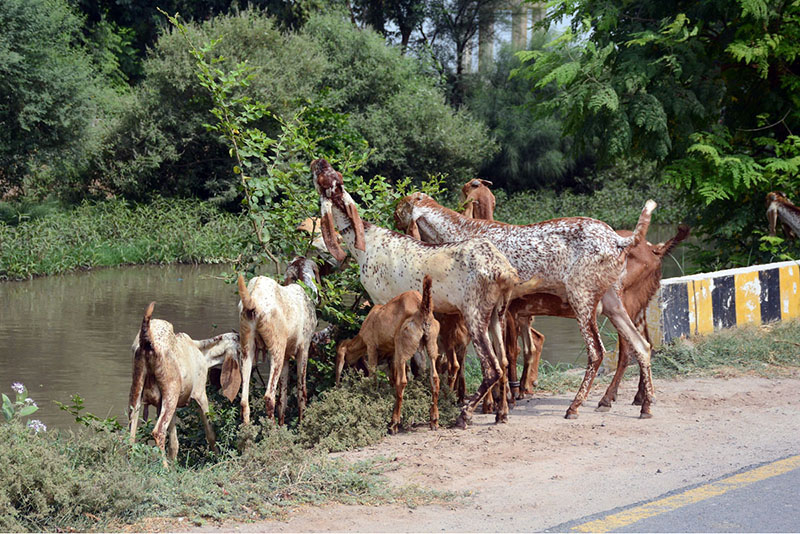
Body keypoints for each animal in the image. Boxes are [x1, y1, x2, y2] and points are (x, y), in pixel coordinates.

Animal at [128, 302, 240, 466]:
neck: (202, 352)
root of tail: (147, 342)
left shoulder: (167, 405)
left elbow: (174, 443)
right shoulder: (200, 394)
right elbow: (210, 433)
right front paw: (218, 459)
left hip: (138, 391)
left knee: (130, 434)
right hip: (170, 392)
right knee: (158, 432)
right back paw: (164, 468)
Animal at [220, 260, 318, 425]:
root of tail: (254, 300)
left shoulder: (286, 358)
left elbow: (283, 399)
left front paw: (283, 425)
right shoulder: (303, 350)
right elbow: (301, 393)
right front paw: (301, 424)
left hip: (247, 351)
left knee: (244, 401)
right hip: (276, 351)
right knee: (269, 397)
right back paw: (271, 429)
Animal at [336, 276, 440, 433]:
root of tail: (423, 309)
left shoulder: (371, 347)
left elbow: (373, 376)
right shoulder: (392, 354)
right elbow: (391, 378)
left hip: (403, 347)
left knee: (402, 381)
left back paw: (394, 423)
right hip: (431, 345)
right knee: (434, 378)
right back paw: (434, 420)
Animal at [394, 193, 657, 419]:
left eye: (400, 206)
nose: (394, 217)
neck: (460, 231)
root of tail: (619, 240)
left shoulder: (493, 310)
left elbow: (498, 358)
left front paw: (492, 405)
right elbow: (502, 358)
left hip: (582, 298)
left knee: (597, 352)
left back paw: (574, 407)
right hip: (613, 302)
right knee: (641, 345)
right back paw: (645, 405)